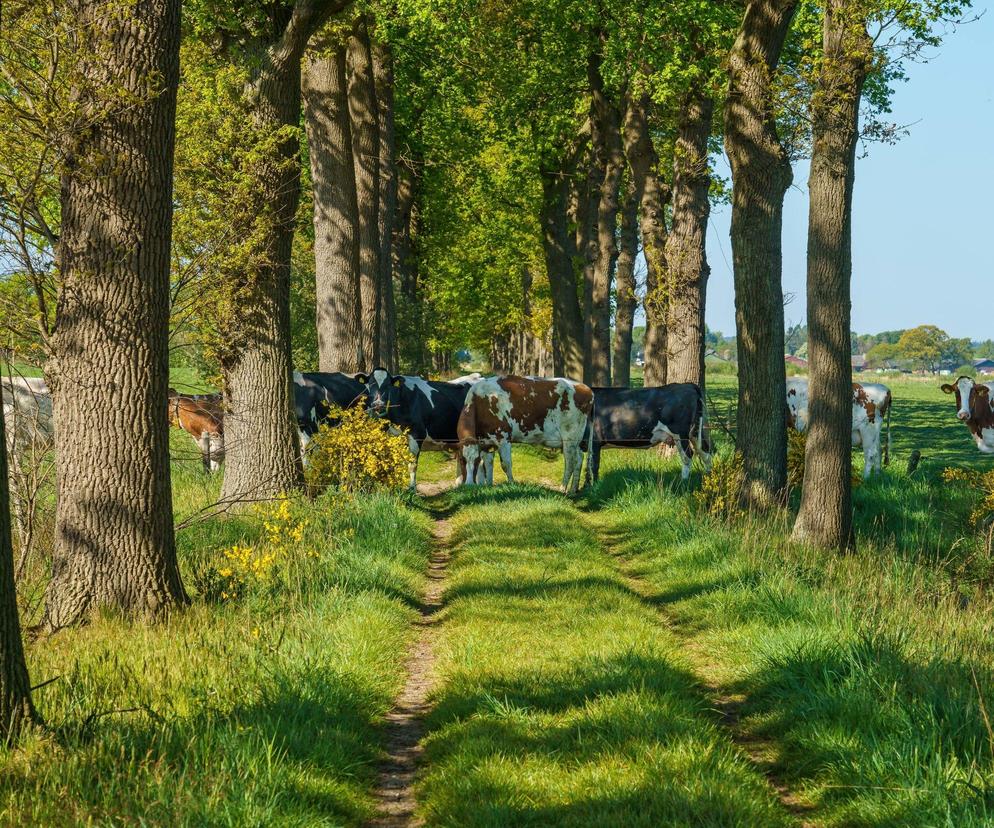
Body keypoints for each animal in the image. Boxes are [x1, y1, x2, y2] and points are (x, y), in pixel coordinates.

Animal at [356, 368, 484, 488]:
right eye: (371, 383)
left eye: (388, 385)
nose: (378, 404)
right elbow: (388, 463)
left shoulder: (416, 434)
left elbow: (412, 465)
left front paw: (412, 488)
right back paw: (459, 483)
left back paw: (480, 483)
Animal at [456, 376, 588, 492]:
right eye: (462, 460)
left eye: (475, 460)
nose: (468, 485)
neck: (480, 401)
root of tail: (584, 387)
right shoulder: (484, 442)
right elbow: (486, 465)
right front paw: (487, 486)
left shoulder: (503, 438)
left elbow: (505, 464)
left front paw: (511, 484)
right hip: (576, 440)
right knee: (579, 458)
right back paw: (573, 490)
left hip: (569, 438)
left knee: (570, 461)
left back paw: (563, 489)